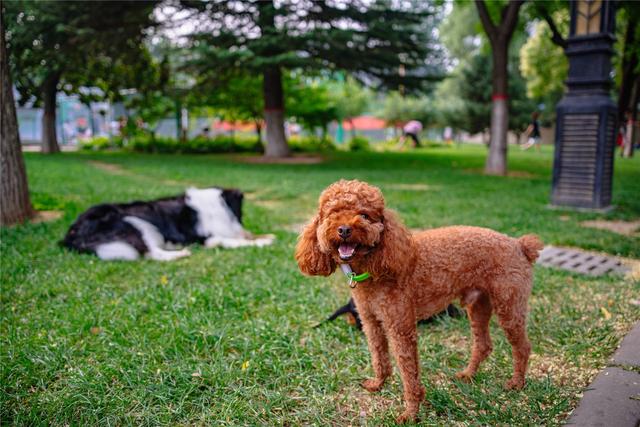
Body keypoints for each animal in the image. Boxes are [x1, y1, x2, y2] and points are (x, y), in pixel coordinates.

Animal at [58, 189, 272, 262]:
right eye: (240, 213)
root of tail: (70, 234)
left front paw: (264, 235)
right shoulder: (209, 239)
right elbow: (233, 241)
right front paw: (261, 242)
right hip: (135, 224)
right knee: (151, 253)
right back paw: (179, 254)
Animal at [296, 179, 540, 422]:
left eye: (365, 215)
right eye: (333, 214)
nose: (345, 229)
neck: (374, 268)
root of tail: (519, 245)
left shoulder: (401, 328)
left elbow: (408, 372)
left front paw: (410, 413)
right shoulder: (371, 321)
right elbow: (379, 356)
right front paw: (378, 384)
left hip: (509, 304)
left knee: (522, 347)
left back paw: (516, 383)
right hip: (478, 304)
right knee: (484, 345)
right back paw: (468, 374)